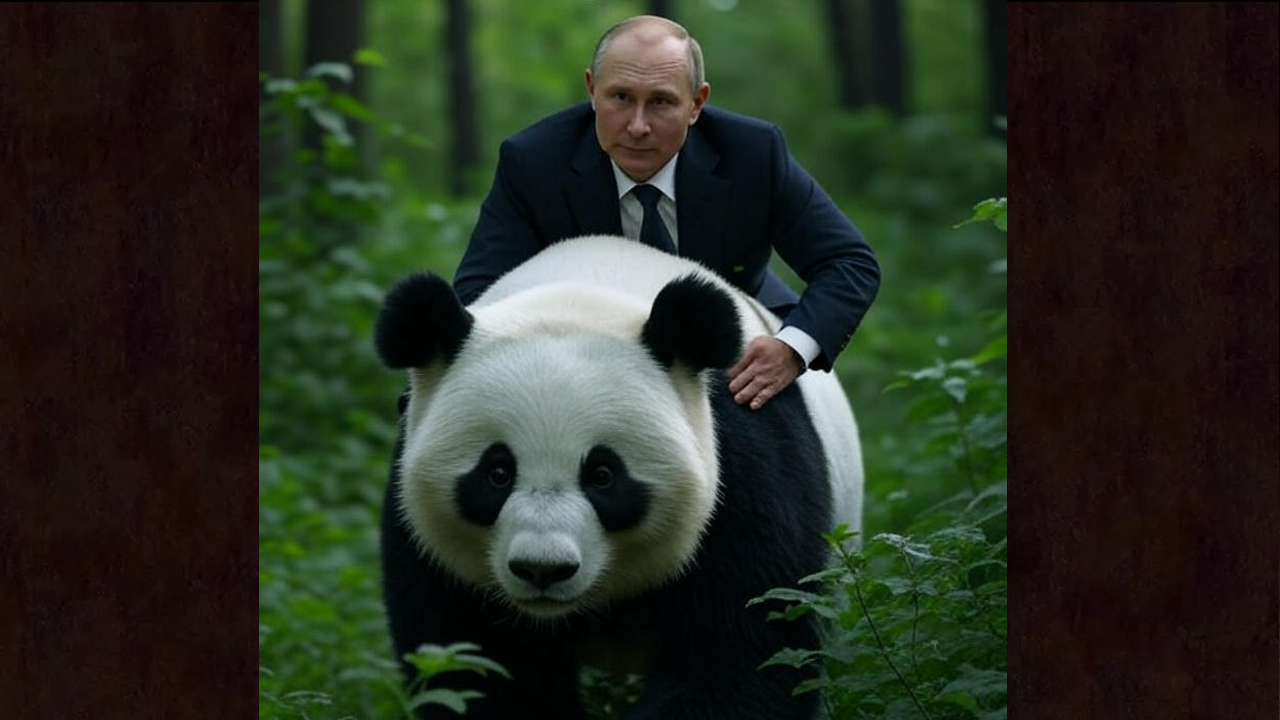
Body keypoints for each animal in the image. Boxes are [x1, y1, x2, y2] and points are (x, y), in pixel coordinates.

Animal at [375, 235, 864, 720]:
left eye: (603, 475)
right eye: (497, 473)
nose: (542, 569)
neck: (587, 287)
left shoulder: (746, 469)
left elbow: (743, 651)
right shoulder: (425, 535)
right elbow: (471, 665)